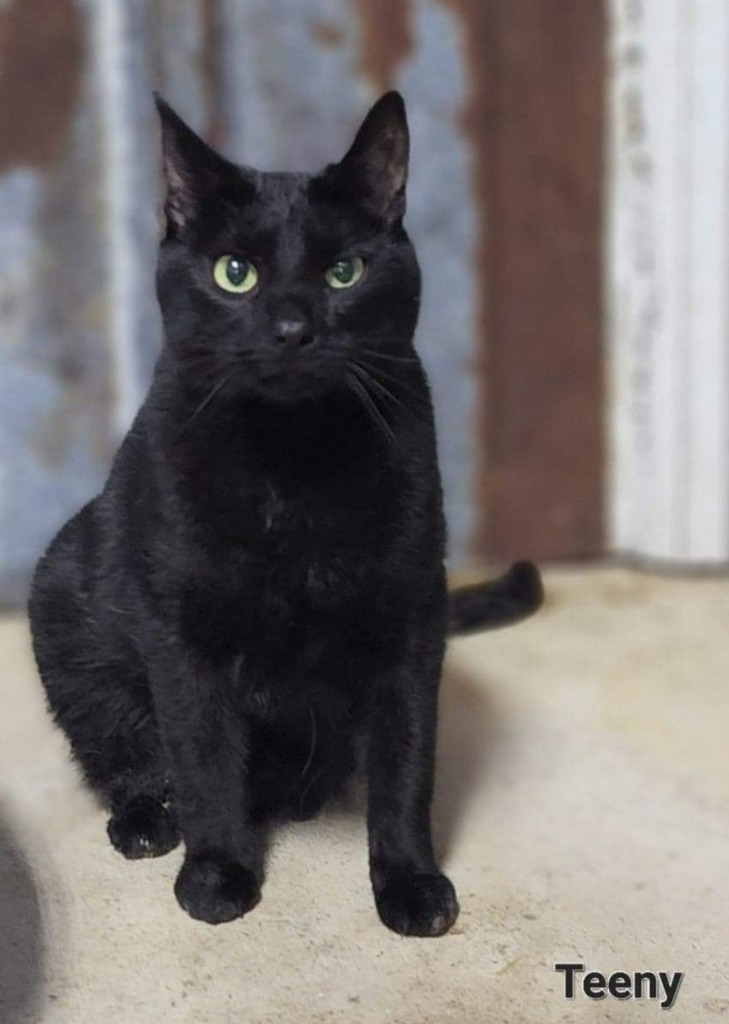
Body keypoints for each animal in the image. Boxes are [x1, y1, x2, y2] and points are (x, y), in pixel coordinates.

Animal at [28, 94, 540, 937]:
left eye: (344, 272)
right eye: (234, 274)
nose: (294, 327)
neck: (292, 460)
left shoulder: (409, 618)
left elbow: (405, 766)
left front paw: (409, 884)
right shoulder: (182, 633)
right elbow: (204, 758)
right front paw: (217, 875)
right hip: (64, 599)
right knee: (117, 750)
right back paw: (146, 821)